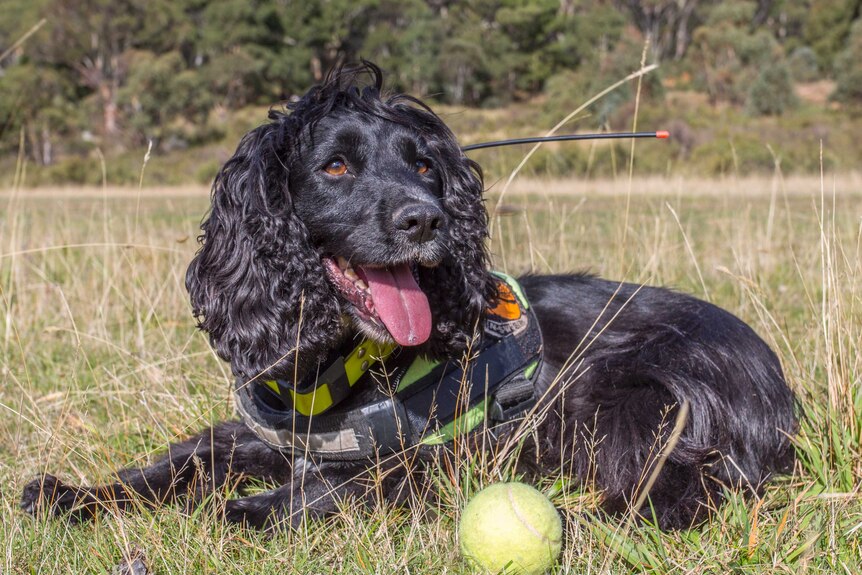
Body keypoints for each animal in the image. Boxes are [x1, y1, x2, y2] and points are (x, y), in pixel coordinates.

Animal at [22, 63, 796, 532]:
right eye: (335, 166)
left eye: (425, 166)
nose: (426, 219)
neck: (346, 361)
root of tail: (780, 389)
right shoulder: (282, 433)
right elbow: (182, 458)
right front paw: (75, 494)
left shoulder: (446, 454)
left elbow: (346, 485)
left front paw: (245, 511)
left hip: (627, 398)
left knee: (673, 491)